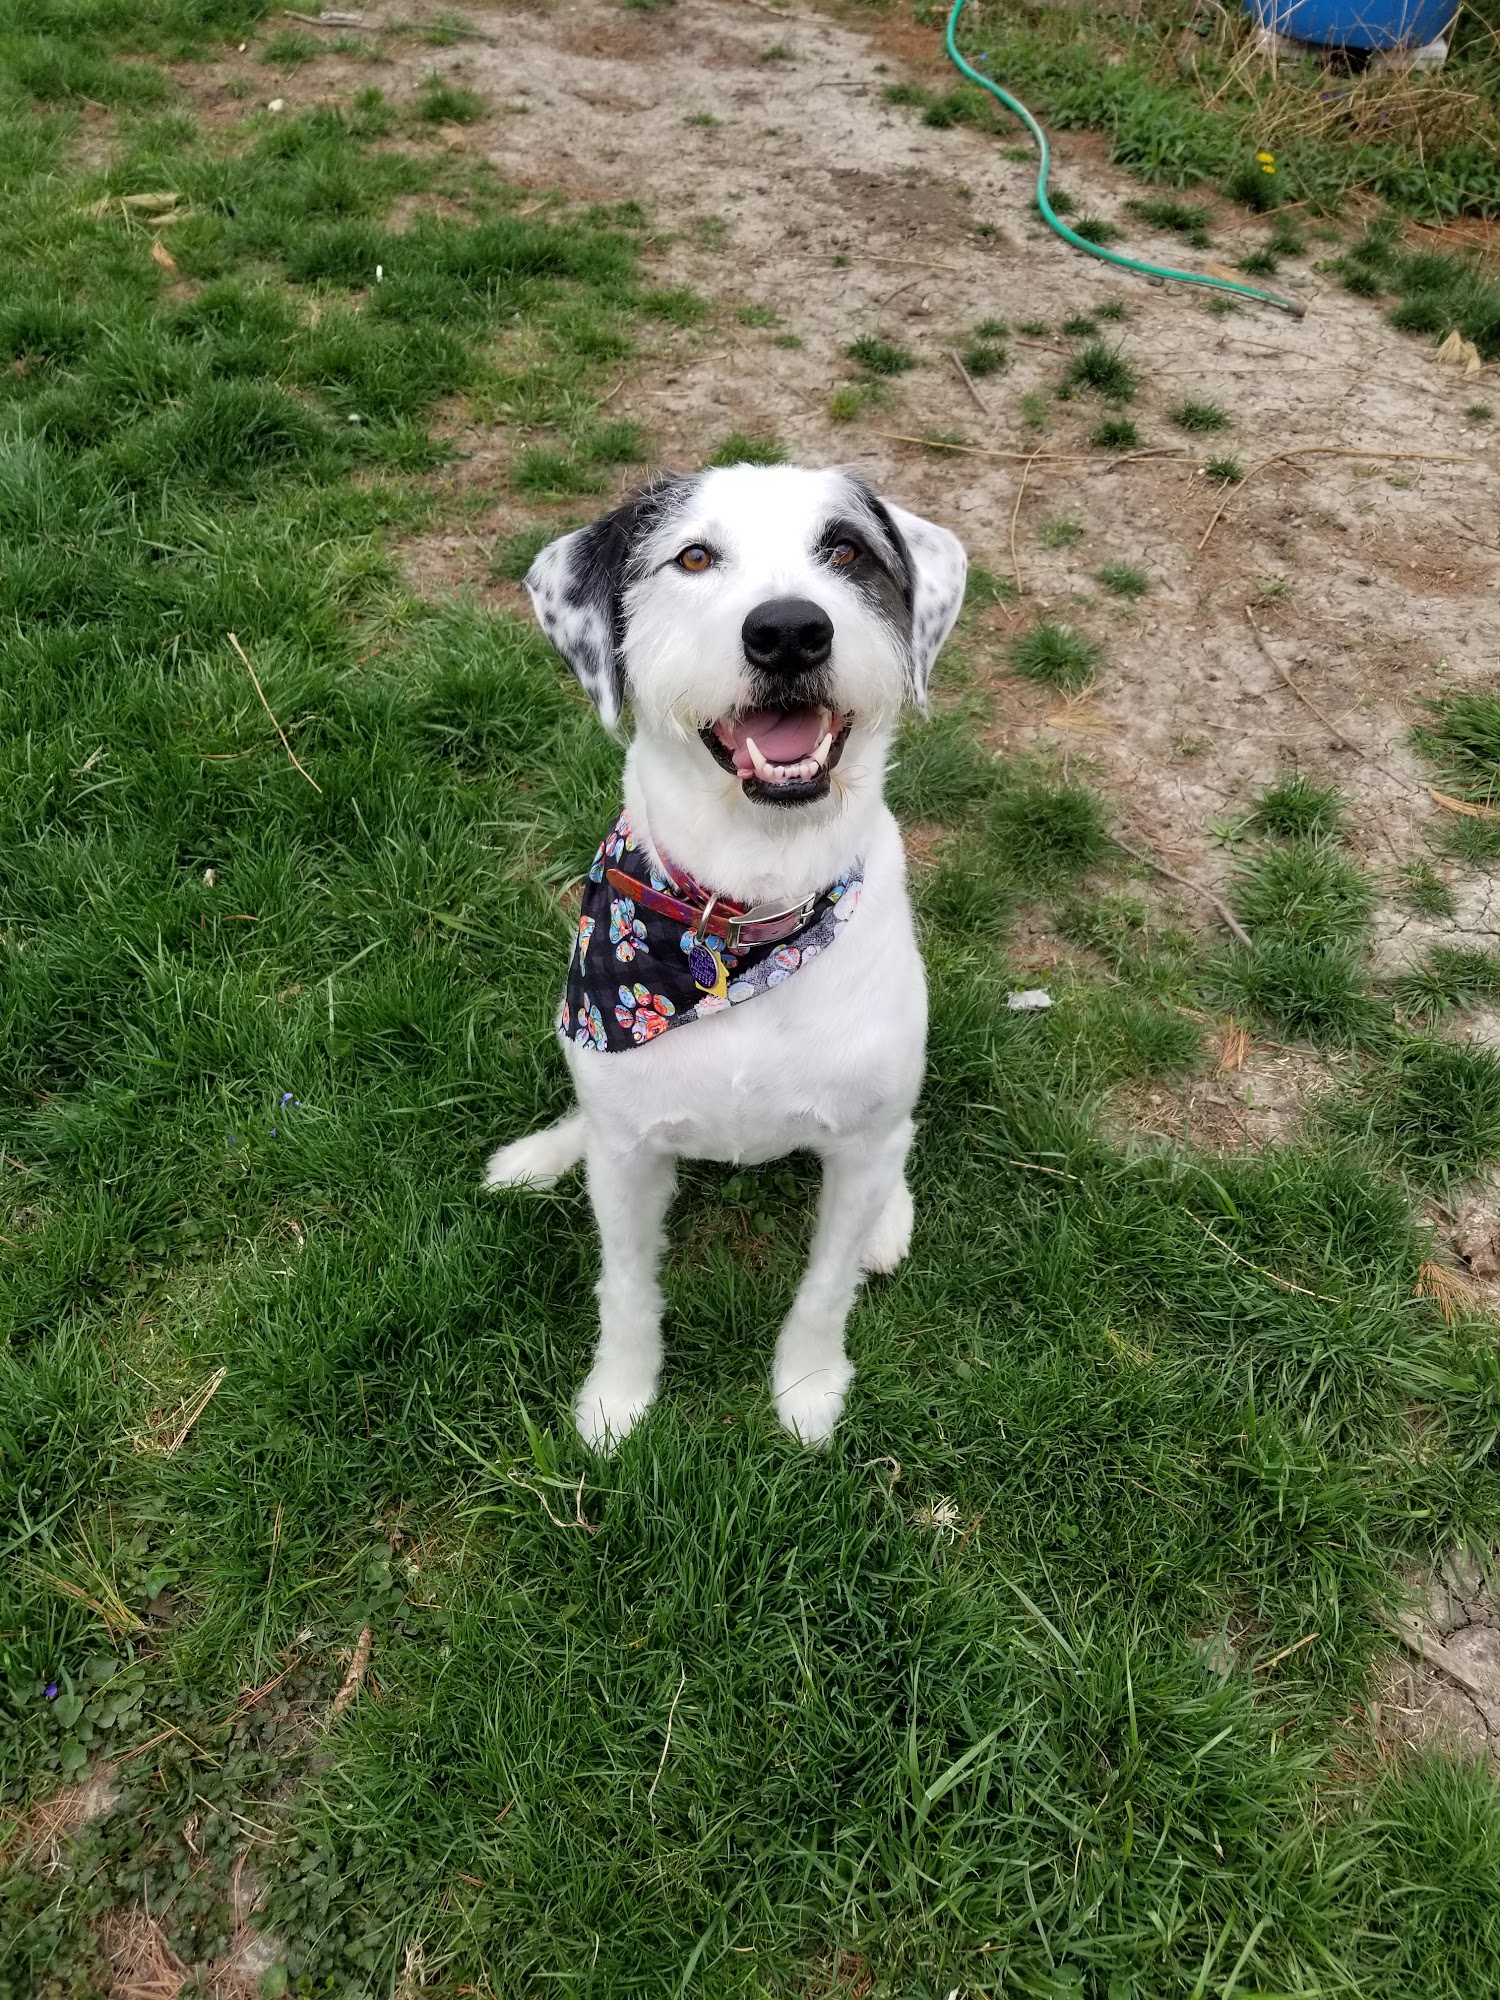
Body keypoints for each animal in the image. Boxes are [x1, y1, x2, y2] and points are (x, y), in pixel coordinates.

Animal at [485, 463, 966, 1448]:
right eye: (695, 557)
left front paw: (807, 1390)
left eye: (845, 549)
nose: (788, 630)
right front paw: (617, 1401)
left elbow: (824, 1289)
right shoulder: (629, 1158)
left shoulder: (859, 1145)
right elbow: (626, 1289)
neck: (740, 924)